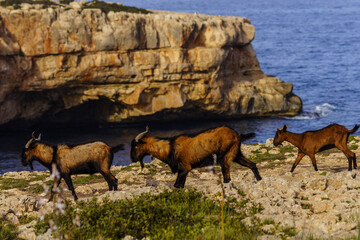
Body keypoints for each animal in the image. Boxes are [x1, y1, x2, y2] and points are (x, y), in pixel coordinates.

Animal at [129, 125, 262, 188]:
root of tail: (237, 135)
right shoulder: (184, 170)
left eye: (135, 146)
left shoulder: (184, 168)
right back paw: (260, 180)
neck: (170, 147)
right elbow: (180, 186)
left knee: (227, 177)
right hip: (236, 153)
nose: (132, 159)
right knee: (252, 165)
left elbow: (177, 185)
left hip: (226, 156)